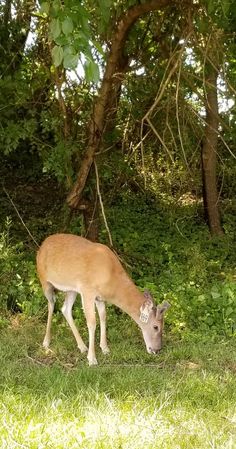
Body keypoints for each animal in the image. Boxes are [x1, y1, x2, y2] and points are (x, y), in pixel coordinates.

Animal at [36, 233, 170, 366]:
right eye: (156, 327)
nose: (157, 349)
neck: (111, 278)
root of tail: (42, 245)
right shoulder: (87, 291)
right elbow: (92, 322)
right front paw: (92, 359)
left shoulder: (100, 298)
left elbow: (103, 317)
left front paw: (105, 348)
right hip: (44, 280)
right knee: (51, 304)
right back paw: (46, 342)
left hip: (71, 289)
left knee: (65, 309)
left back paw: (82, 346)